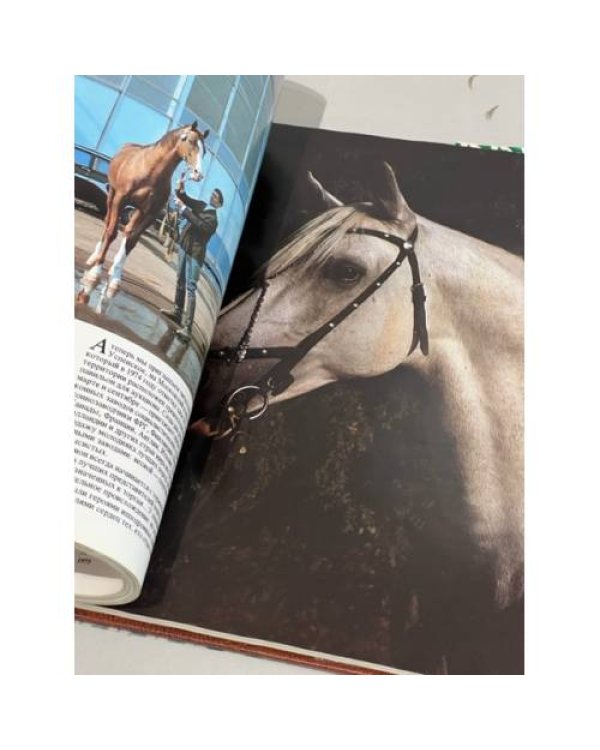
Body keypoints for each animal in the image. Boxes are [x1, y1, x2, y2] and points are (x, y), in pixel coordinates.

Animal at [76, 121, 209, 305]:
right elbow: (112, 233)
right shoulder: (120, 200)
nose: (198, 174)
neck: (151, 171)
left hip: (136, 210)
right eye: (188, 140)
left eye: (204, 151)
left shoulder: (150, 213)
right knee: (107, 223)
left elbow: (131, 240)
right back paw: (94, 257)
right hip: (112, 197)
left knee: (126, 231)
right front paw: (95, 273)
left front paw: (115, 280)